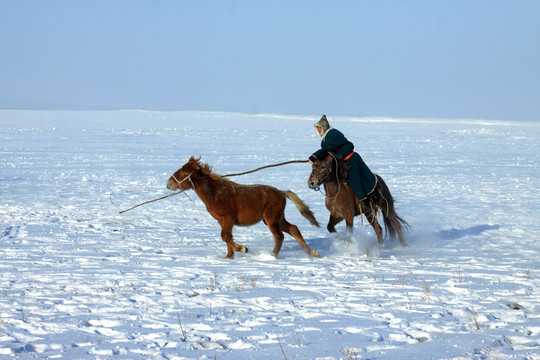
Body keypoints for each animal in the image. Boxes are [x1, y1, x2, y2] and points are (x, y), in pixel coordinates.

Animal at [167, 156, 320, 258]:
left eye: (183, 172)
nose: (168, 183)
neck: (215, 193)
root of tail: (281, 192)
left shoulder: (229, 218)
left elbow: (225, 236)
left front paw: (242, 249)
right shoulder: (222, 221)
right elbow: (228, 237)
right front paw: (229, 257)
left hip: (271, 219)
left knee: (279, 236)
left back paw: (272, 256)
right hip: (277, 219)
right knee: (294, 229)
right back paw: (311, 252)